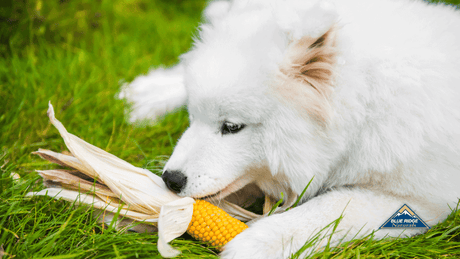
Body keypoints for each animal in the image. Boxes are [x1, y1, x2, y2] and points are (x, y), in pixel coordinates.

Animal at [121, 1, 460, 258]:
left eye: (232, 126)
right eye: (192, 118)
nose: (171, 180)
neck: (367, 106)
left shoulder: (420, 200)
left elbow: (328, 209)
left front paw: (253, 244)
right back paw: (147, 96)